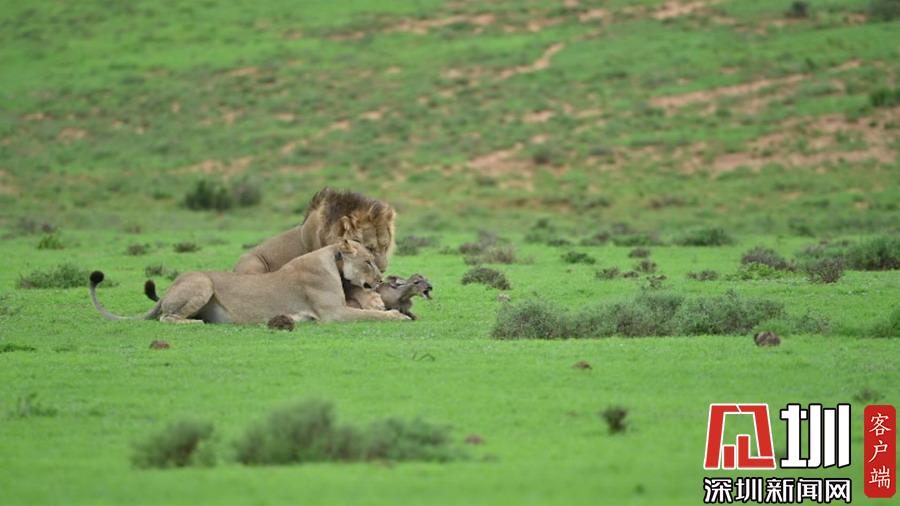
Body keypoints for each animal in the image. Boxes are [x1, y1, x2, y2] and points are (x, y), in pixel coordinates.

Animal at [89, 240, 409, 324]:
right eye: (368, 261)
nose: (380, 279)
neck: (333, 259)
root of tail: (169, 288)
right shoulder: (334, 314)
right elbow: (373, 316)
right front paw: (397, 315)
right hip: (202, 283)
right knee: (167, 318)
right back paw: (197, 323)